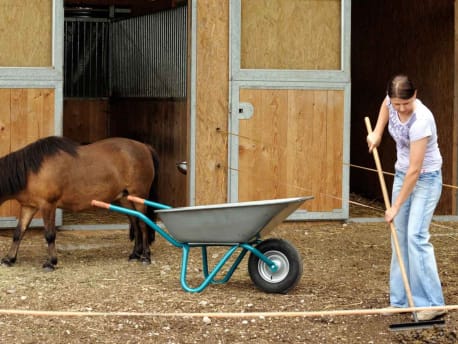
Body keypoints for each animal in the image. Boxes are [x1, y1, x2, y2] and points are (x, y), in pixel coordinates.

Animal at [0, 136, 159, 270]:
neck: (32, 172)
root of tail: (144, 146)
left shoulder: (48, 206)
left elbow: (50, 234)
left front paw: (51, 262)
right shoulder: (29, 206)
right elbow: (18, 232)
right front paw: (9, 259)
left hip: (138, 196)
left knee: (143, 224)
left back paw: (145, 257)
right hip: (125, 198)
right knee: (136, 222)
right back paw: (135, 255)